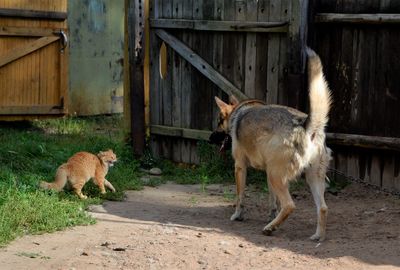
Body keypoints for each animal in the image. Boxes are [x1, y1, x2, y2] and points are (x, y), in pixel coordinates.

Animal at [214, 47, 332, 242]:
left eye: (218, 122)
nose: (210, 137)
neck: (240, 110)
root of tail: (306, 126)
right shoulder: (267, 176)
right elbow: (272, 201)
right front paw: (271, 214)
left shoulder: (240, 167)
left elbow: (240, 196)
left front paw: (238, 215)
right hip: (309, 178)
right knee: (322, 208)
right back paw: (317, 236)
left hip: (276, 175)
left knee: (290, 205)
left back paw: (270, 228)